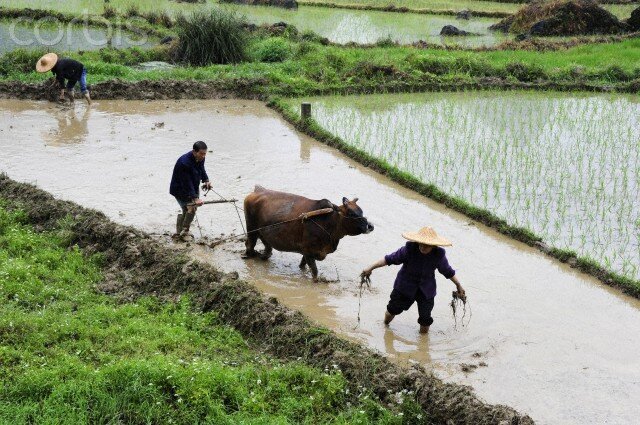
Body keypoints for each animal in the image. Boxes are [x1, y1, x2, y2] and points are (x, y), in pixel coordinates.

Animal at [245, 185, 376, 278]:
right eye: (352, 213)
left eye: (361, 212)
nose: (370, 226)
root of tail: (257, 190)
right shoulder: (308, 252)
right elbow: (315, 272)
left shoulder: (308, 253)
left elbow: (303, 266)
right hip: (251, 229)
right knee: (250, 244)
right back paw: (247, 256)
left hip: (262, 233)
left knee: (267, 249)